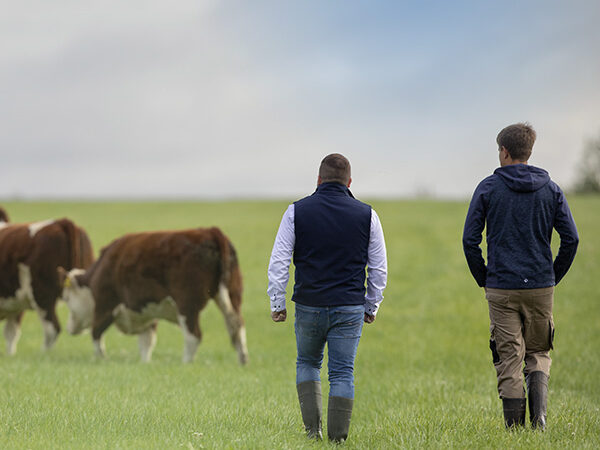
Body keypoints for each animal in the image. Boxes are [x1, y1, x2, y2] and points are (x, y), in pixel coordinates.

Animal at [0, 218, 94, 356]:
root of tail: (61, 222)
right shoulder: (15, 306)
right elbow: (11, 334)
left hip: (42, 296)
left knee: (52, 329)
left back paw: (43, 355)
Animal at [59, 227, 250, 364]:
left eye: (67, 299)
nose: (69, 328)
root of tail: (210, 231)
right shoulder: (147, 315)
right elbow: (146, 343)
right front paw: (145, 363)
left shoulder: (105, 306)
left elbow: (96, 335)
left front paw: (102, 360)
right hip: (233, 295)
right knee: (237, 326)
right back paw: (243, 361)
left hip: (187, 305)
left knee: (193, 336)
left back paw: (185, 363)